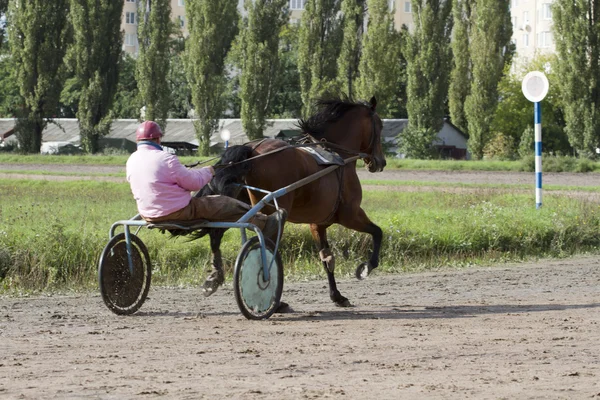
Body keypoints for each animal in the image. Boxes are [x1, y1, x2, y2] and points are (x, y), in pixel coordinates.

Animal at [199, 96, 384, 306]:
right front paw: (366, 267)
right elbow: (377, 232)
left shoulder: (318, 224)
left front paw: (337, 295)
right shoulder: (350, 215)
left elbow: (327, 260)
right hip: (273, 210)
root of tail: (253, 150)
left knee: (216, 233)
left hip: (236, 201)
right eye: (380, 126)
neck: (338, 157)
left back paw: (215, 276)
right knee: (266, 244)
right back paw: (272, 297)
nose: (381, 162)